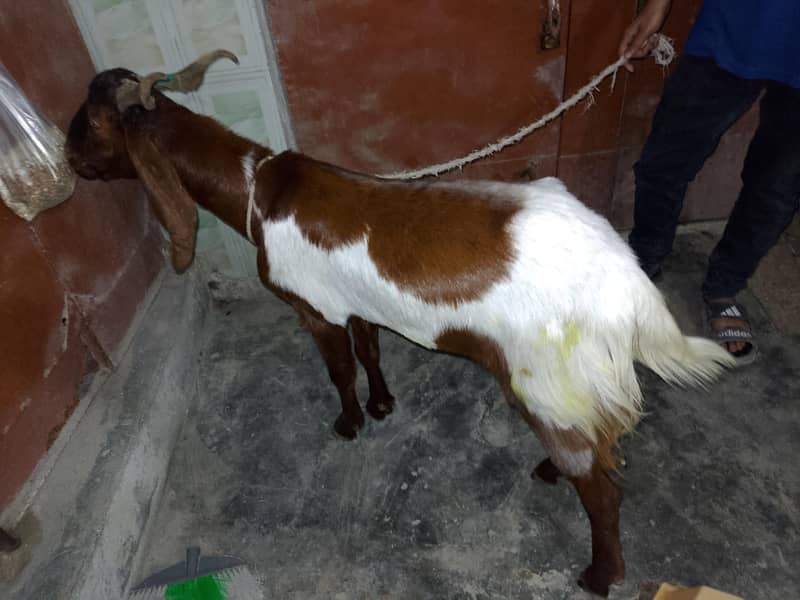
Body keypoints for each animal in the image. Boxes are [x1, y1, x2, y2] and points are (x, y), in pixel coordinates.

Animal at [65, 50, 735, 597]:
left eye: (93, 124)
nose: (68, 161)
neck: (257, 193)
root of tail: (628, 281)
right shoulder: (355, 303)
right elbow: (371, 352)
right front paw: (384, 406)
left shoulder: (314, 309)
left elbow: (339, 370)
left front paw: (349, 424)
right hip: (570, 379)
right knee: (598, 441)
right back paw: (552, 472)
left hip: (544, 374)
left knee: (602, 485)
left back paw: (599, 575)